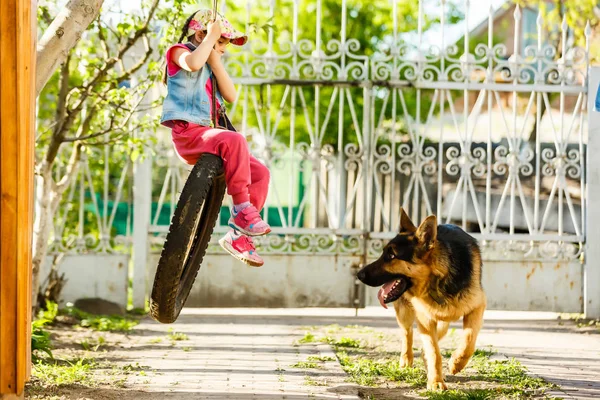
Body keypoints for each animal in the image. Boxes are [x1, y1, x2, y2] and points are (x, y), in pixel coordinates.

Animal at [358, 209, 486, 390]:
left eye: (392, 255)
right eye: (383, 253)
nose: (359, 274)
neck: (438, 280)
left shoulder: (477, 307)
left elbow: (469, 340)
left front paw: (456, 362)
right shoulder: (425, 319)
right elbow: (434, 351)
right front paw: (436, 382)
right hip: (406, 314)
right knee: (408, 333)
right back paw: (407, 359)